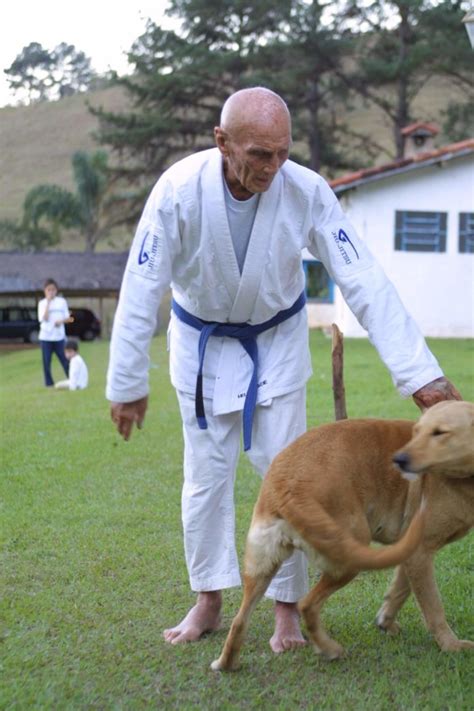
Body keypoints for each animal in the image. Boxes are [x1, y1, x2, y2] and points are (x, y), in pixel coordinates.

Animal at [212, 404, 474, 672]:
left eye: (439, 432)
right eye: (418, 432)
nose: (399, 460)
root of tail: (289, 487)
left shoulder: (410, 554)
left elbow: (399, 591)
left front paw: (386, 622)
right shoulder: (420, 552)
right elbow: (433, 607)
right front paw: (450, 645)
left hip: (261, 567)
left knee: (239, 621)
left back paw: (226, 663)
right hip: (348, 557)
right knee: (307, 605)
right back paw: (329, 649)